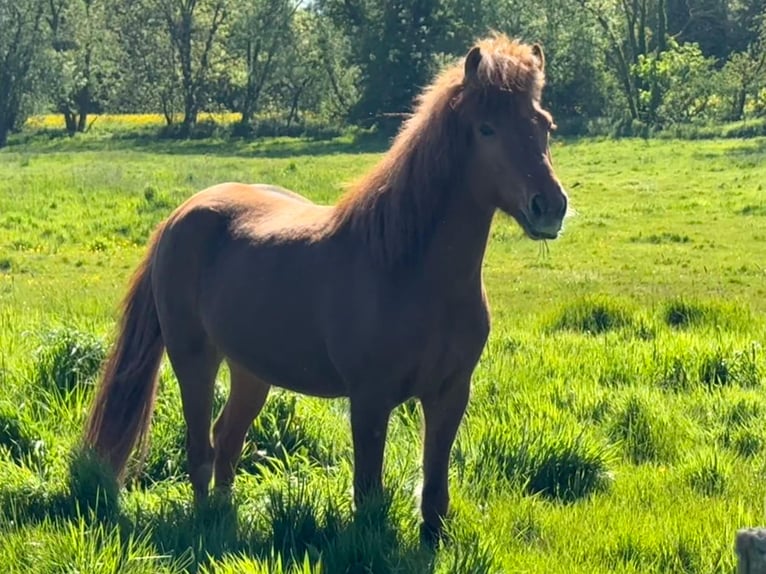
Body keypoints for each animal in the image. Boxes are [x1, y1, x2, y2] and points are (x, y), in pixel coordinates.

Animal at [83, 33, 569, 543]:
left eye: (544, 125)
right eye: (487, 129)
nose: (550, 207)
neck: (410, 272)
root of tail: (180, 215)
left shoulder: (451, 393)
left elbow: (435, 491)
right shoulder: (370, 399)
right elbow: (369, 492)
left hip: (251, 370)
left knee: (226, 441)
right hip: (193, 359)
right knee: (200, 448)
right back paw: (206, 529)